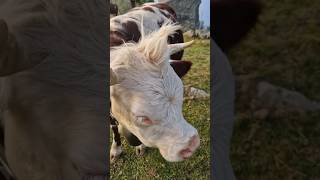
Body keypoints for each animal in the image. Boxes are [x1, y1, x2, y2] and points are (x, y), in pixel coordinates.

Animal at [110, 3, 200, 163]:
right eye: (142, 118)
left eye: (180, 97)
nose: (193, 144)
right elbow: (113, 126)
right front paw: (116, 149)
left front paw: (140, 147)